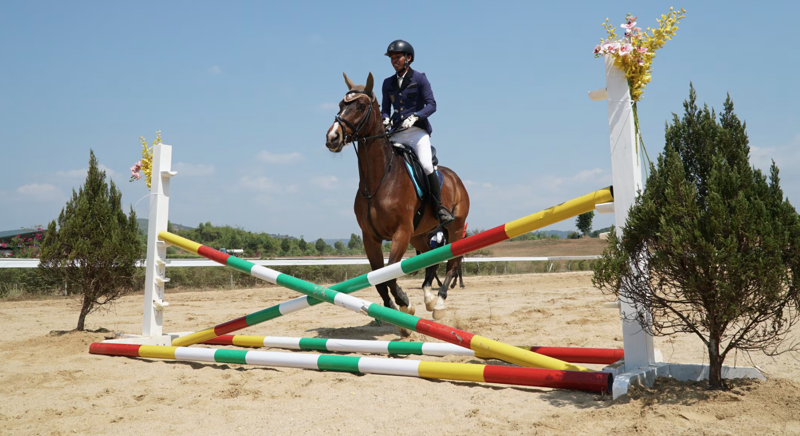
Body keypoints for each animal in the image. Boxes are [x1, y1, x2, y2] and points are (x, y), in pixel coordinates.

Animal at [324, 71, 468, 334]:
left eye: (361, 106)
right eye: (340, 104)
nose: (332, 137)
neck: (379, 179)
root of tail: (455, 177)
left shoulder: (400, 232)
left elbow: (390, 275)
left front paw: (404, 303)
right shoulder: (370, 237)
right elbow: (379, 277)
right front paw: (394, 313)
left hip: (454, 229)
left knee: (453, 263)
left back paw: (439, 304)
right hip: (419, 235)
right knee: (431, 260)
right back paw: (428, 298)